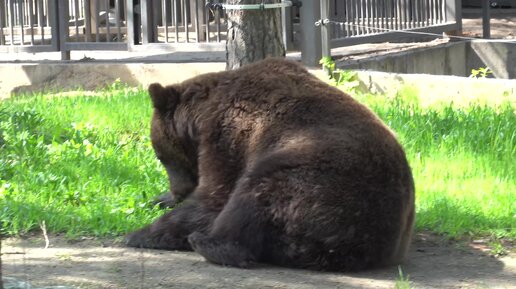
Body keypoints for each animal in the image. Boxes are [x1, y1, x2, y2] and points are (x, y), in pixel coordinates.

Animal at [126, 58, 416, 270]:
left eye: (160, 156)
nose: (178, 190)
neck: (201, 117)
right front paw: (156, 201)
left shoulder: (230, 135)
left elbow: (215, 195)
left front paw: (141, 233)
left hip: (318, 176)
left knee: (254, 196)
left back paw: (208, 243)